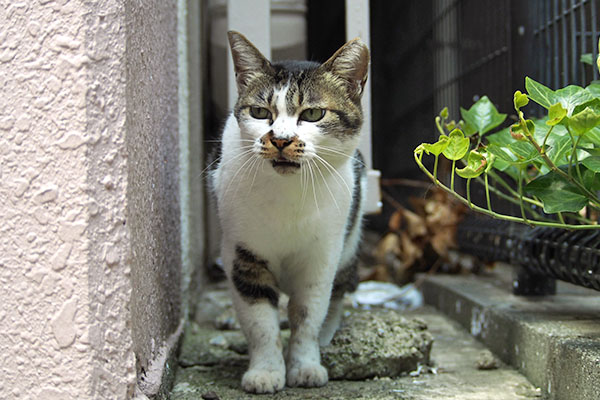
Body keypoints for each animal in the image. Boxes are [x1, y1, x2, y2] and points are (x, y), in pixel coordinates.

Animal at [211, 31, 370, 394]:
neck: (289, 196)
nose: (280, 139)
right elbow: (260, 323)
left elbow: (308, 315)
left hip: (349, 245)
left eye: (313, 114)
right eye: (259, 112)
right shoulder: (241, 254)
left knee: (338, 294)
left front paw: (305, 365)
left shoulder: (321, 257)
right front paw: (267, 371)